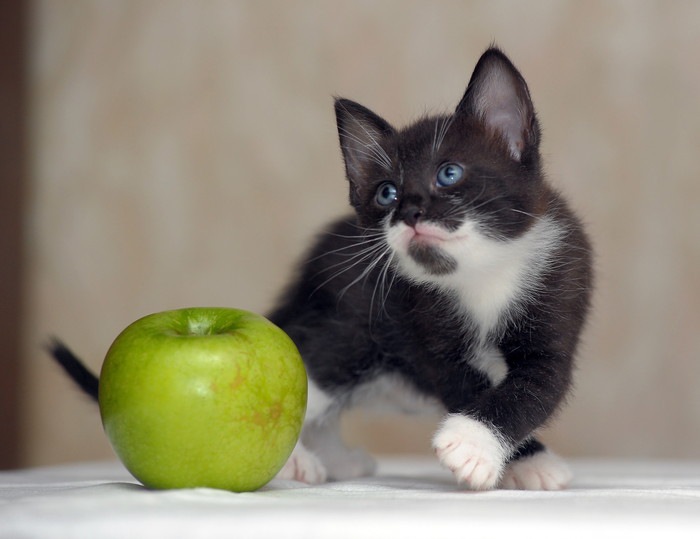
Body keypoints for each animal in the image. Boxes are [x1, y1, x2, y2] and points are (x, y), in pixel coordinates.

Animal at [266, 48, 592, 492]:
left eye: (449, 173)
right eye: (387, 193)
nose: (410, 212)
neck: (482, 270)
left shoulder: (559, 289)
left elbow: (533, 389)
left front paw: (503, 455)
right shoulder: (426, 327)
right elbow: (465, 385)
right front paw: (487, 451)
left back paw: (338, 460)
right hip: (345, 325)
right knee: (312, 374)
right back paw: (294, 461)